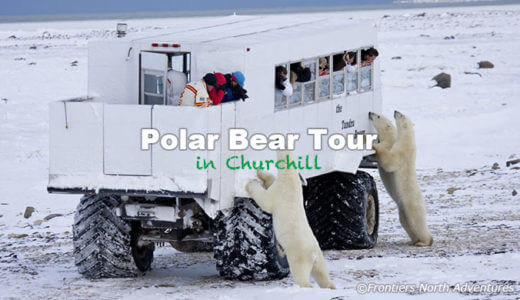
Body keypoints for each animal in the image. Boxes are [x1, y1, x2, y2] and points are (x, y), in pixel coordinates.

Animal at [246, 151, 336, 290]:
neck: (291, 179)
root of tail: (313, 254)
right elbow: (270, 181)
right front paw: (261, 172)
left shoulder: (280, 192)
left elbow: (265, 201)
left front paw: (251, 182)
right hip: (319, 257)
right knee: (322, 273)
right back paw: (330, 287)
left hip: (299, 255)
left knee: (301, 274)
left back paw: (305, 287)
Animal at [370, 110, 434, 246]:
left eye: (378, 116)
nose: (395, 111)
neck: (407, 140)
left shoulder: (401, 152)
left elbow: (389, 161)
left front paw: (374, 145)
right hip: (402, 209)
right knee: (406, 223)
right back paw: (413, 241)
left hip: (412, 204)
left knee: (416, 222)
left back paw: (424, 241)